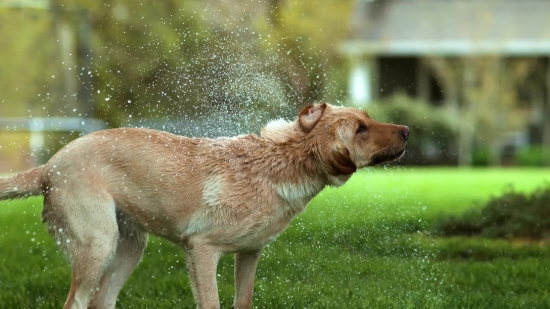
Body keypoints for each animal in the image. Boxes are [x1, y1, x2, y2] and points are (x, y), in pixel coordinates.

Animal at [0, 104, 410, 308]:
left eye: (368, 117)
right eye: (360, 130)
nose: (407, 130)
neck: (283, 161)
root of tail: (49, 166)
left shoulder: (250, 253)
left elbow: (243, 301)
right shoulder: (201, 249)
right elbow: (211, 303)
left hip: (128, 249)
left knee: (101, 301)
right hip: (98, 245)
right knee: (77, 302)